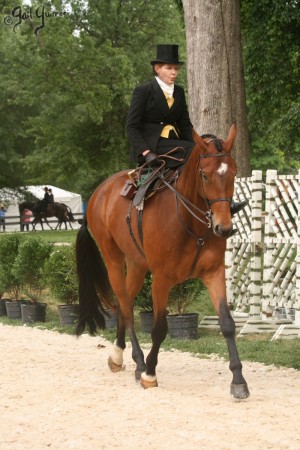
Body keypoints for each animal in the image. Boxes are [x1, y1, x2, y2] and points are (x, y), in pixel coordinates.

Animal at [76, 125, 250, 400]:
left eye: (233, 173)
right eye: (205, 175)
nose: (223, 227)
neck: (190, 222)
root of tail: (98, 192)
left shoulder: (214, 273)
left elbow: (227, 324)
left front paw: (239, 380)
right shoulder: (161, 279)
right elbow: (159, 328)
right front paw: (150, 374)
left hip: (136, 265)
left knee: (123, 304)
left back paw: (118, 355)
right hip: (113, 259)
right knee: (126, 308)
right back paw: (138, 362)